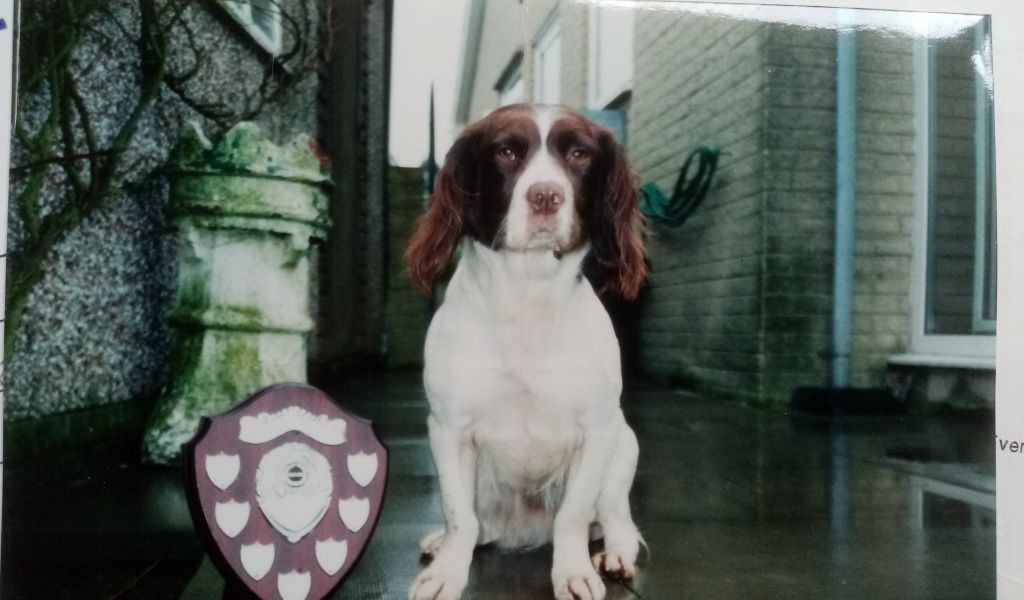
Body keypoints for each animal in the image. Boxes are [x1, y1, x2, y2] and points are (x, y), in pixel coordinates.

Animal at [403, 103, 643, 597]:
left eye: (579, 154)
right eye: (507, 151)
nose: (546, 197)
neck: (526, 298)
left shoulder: (599, 429)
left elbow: (572, 517)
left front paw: (574, 573)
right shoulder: (449, 427)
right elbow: (459, 517)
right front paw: (446, 573)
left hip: (624, 448)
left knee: (618, 524)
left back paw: (613, 557)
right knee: (482, 525)